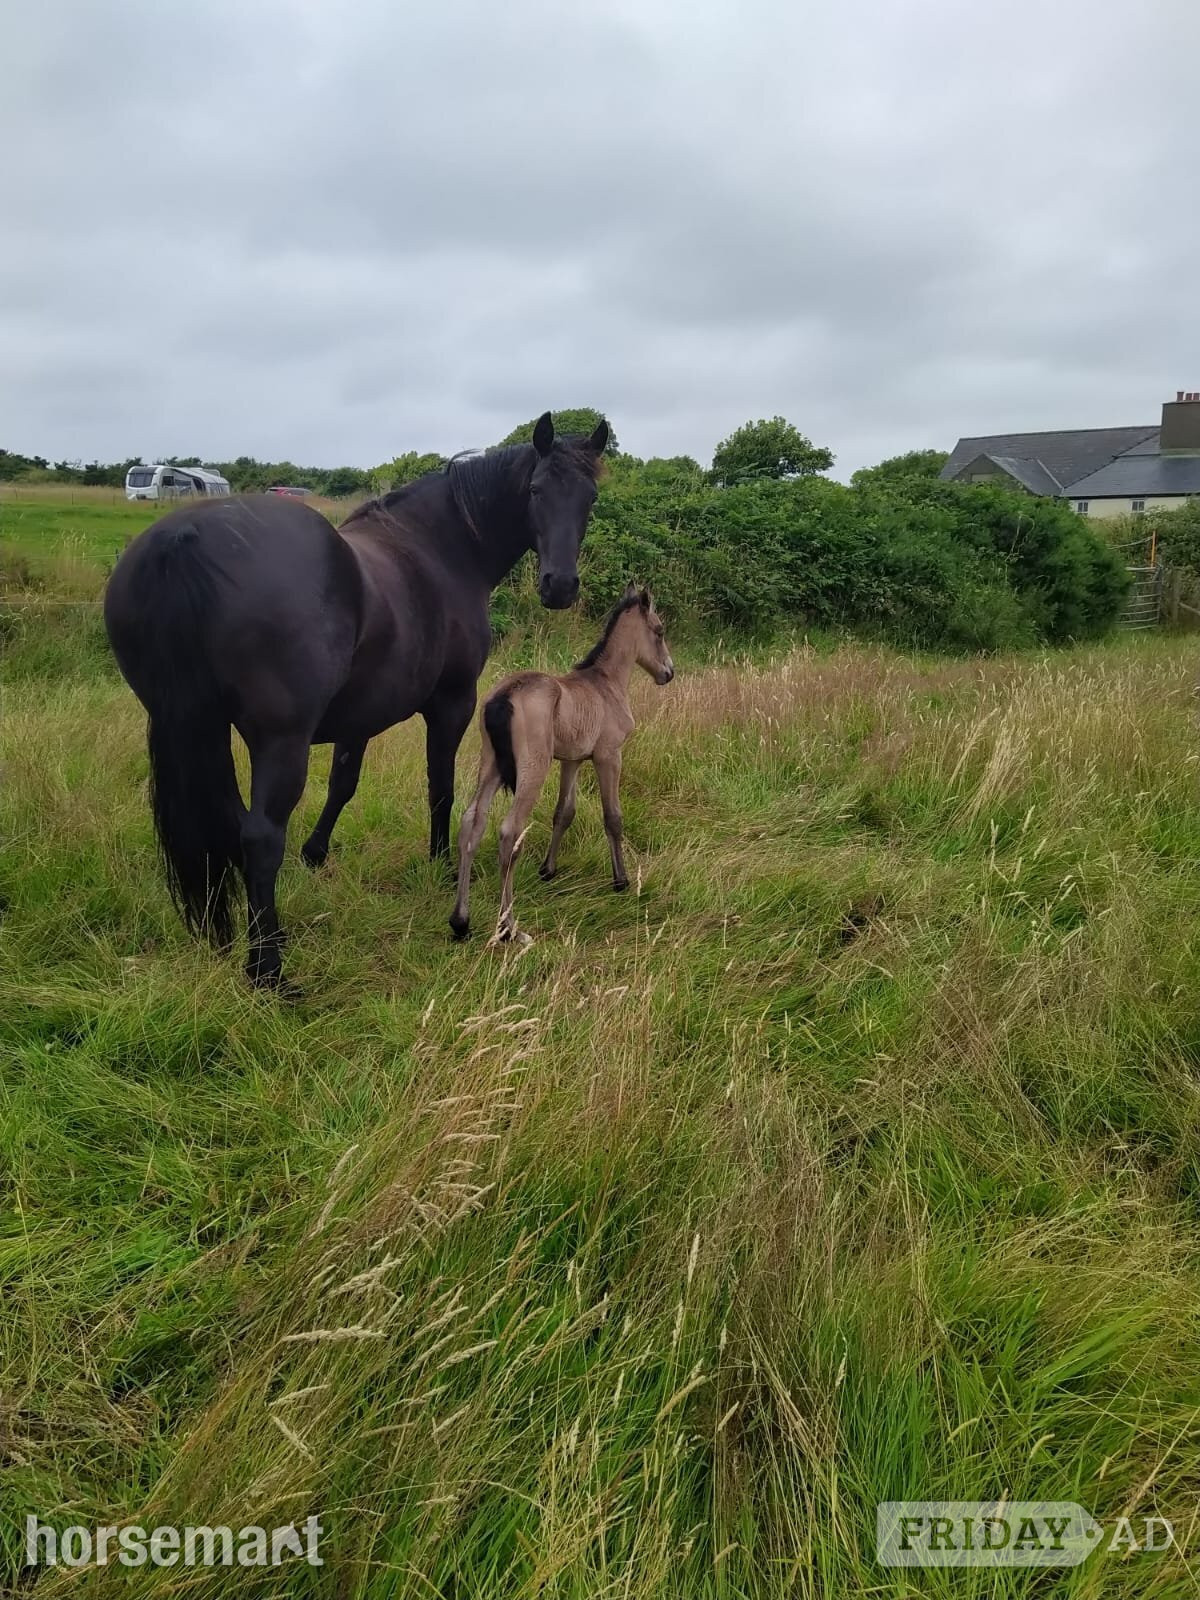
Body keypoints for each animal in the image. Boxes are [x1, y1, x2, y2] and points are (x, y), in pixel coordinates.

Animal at [103, 412, 609, 989]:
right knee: (260, 837)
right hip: (279, 741)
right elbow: (441, 788)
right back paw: (268, 969)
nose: (560, 586)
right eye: (536, 490)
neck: (440, 549)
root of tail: (184, 539)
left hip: (202, 731)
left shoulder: (359, 716)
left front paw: (315, 854)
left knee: (229, 822)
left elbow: (343, 783)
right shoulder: (452, 703)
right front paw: (441, 864)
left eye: (590, 496)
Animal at [450, 584, 674, 943]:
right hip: (533, 768)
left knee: (472, 821)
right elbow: (613, 817)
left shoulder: (573, 761)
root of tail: (505, 695)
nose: (668, 672)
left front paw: (548, 870)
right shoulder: (609, 756)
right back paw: (509, 927)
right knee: (509, 832)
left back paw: (460, 921)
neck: (606, 683)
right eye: (659, 630)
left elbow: (563, 813)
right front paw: (621, 880)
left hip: (491, 764)